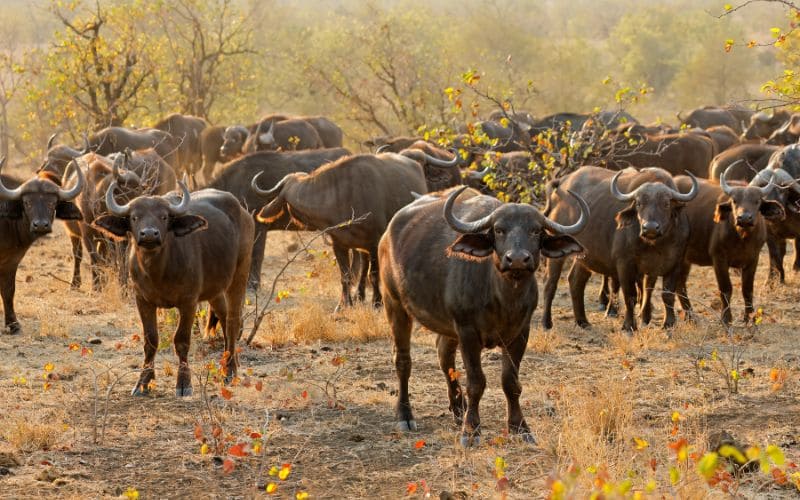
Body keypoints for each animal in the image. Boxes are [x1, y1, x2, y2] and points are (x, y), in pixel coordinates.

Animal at [379, 186, 588, 445]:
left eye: (536, 230)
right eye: (499, 230)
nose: (517, 259)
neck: (503, 298)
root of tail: (387, 235)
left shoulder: (520, 333)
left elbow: (511, 382)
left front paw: (520, 427)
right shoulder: (467, 332)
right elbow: (476, 382)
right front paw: (471, 431)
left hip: (447, 326)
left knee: (444, 355)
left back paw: (458, 409)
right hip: (394, 303)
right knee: (403, 360)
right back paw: (406, 415)